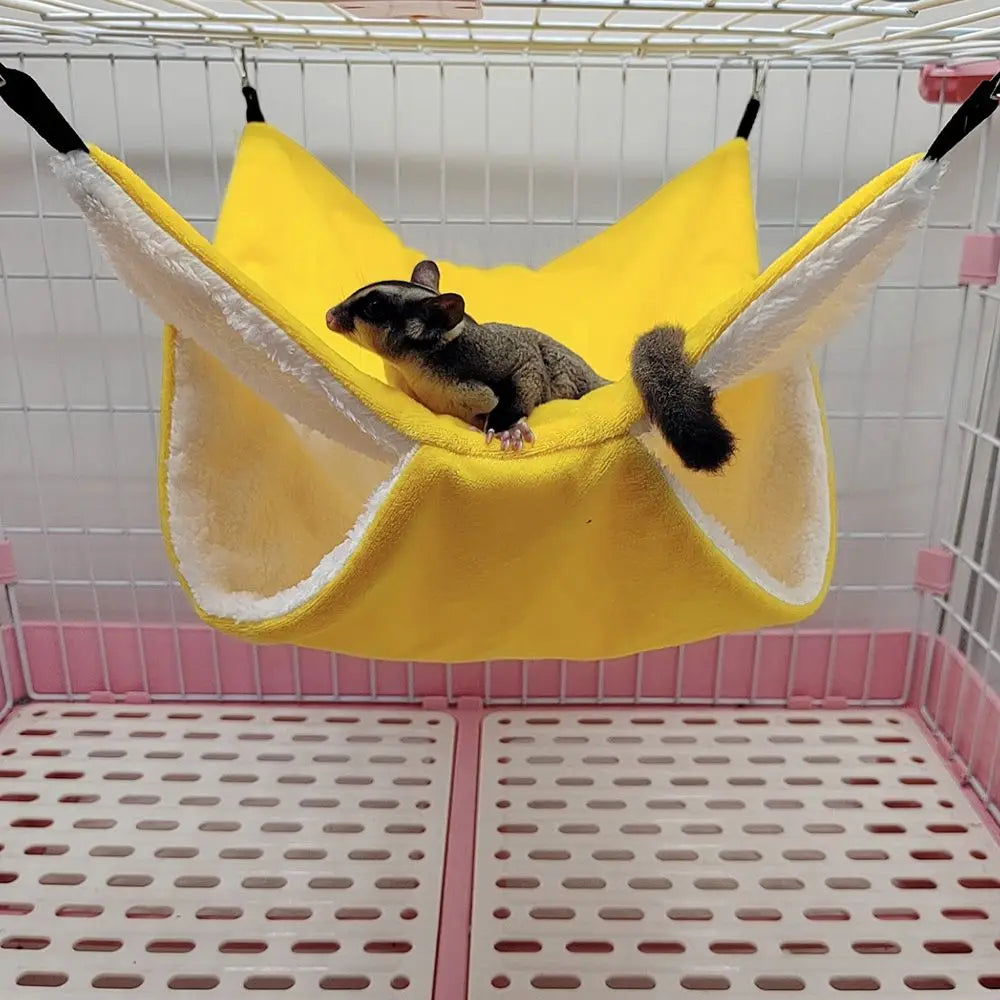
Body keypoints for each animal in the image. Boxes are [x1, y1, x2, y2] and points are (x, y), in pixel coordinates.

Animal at [326, 259, 734, 470]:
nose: (329, 314)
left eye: (373, 307)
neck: (418, 367)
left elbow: (528, 365)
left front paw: (507, 427)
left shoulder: (492, 357)